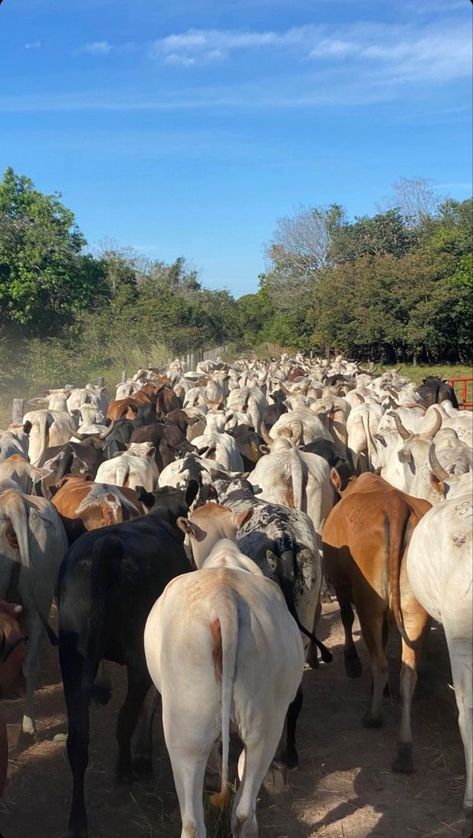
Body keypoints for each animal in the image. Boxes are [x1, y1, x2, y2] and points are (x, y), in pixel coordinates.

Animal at [58, 482, 197, 836]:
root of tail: (109, 545)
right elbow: (151, 706)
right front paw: (143, 756)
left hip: (72, 658)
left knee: (78, 739)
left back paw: (77, 818)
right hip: (138, 658)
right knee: (126, 716)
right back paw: (125, 769)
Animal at [322, 472, 430, 776]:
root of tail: (396, 505)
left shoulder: (342, 586)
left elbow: (346, 619)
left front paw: (352, 663)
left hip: (368, 601)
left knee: (380, 662)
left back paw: (373, 715)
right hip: (413, 609)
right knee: (407, 674)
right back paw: (404, 749)